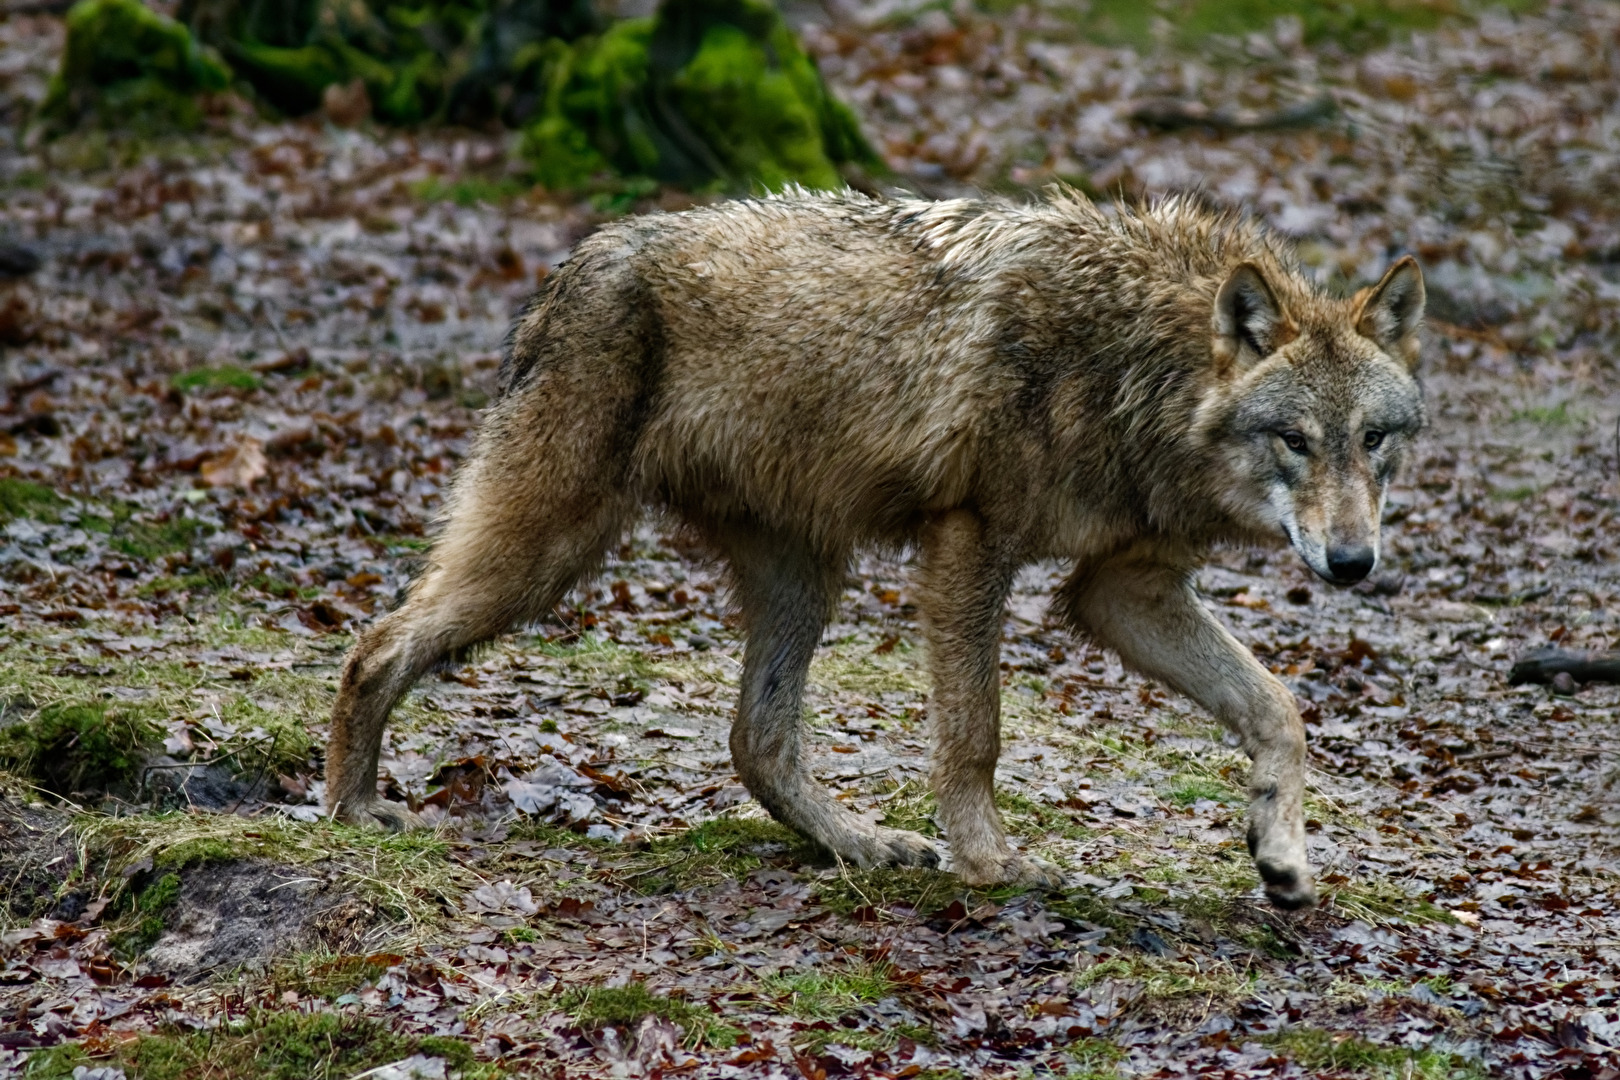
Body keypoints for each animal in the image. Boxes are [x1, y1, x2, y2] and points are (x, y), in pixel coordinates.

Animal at [324, 187, 1425, 910]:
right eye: (1295, 441)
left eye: (1373, 439)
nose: (1352, 564)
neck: (1132, 360)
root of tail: (579, 256)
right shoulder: (970, 546)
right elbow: (976, 736)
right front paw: (992, 864)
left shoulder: (1124, 588)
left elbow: (1278, 709)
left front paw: (1282, 856)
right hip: (548, 553)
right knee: (374, 643)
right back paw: (350, 808)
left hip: (803, 579)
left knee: (756, 743)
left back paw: (860, 845)